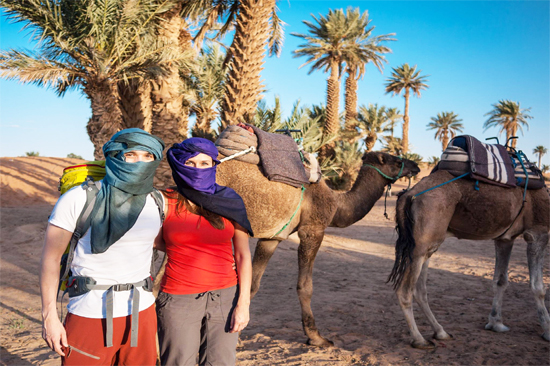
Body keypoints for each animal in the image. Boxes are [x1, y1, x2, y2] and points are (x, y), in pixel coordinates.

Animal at [156, 150, 422, 344]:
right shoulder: (312, 230)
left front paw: (237, 334)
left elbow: (251, 285)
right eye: (396, 159)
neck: (337, 203)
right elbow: (305, 286)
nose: (417, 165)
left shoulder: (272, 238)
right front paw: (316, 337)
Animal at [390, 170, 548, 348]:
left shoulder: (505, 238)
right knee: (404, 291)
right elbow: (538, 287)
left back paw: (441, 332)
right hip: (422, 240)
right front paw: (547, 331)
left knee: (419, 289)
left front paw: (496, 323)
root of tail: (408, 195)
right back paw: (419, 339)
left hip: (427, 245)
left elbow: (500, 281)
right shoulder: (538, 231)